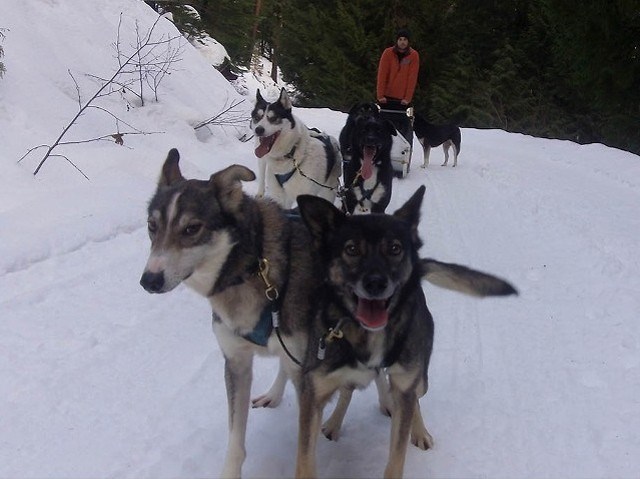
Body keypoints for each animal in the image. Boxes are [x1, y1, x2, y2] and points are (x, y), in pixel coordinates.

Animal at [139, 148, 516, 478]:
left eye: (192, 229)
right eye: (151, 226)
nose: (149, 280)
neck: (255, 266)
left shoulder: (308, 372)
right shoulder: (240, 363)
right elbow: (237, 441)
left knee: (406, 390)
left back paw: (410, 421)